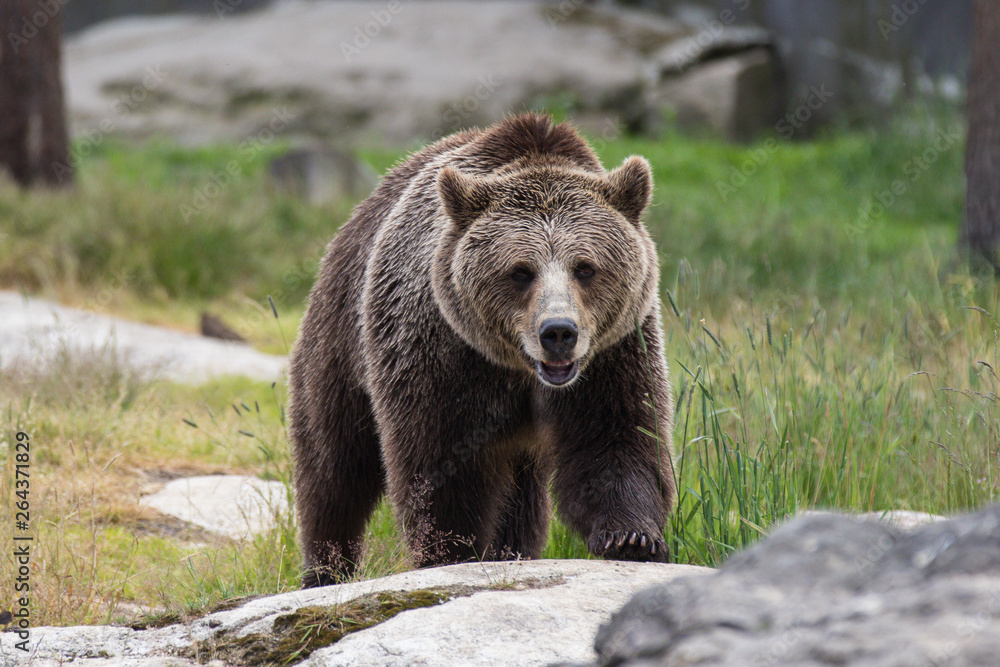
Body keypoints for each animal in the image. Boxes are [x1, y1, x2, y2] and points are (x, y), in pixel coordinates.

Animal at [292, 112, 680, 588]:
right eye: (520, 271)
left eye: (586, 267)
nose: (558, 332)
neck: (515, 367)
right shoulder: (443, 349)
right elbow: (440, 459)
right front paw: (450, 551)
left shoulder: (614, 349)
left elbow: (616, 434)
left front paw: (633, 538)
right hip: (341, 337)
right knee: (334, 463)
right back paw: (326, 568)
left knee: (521, 496)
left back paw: (512, 549)